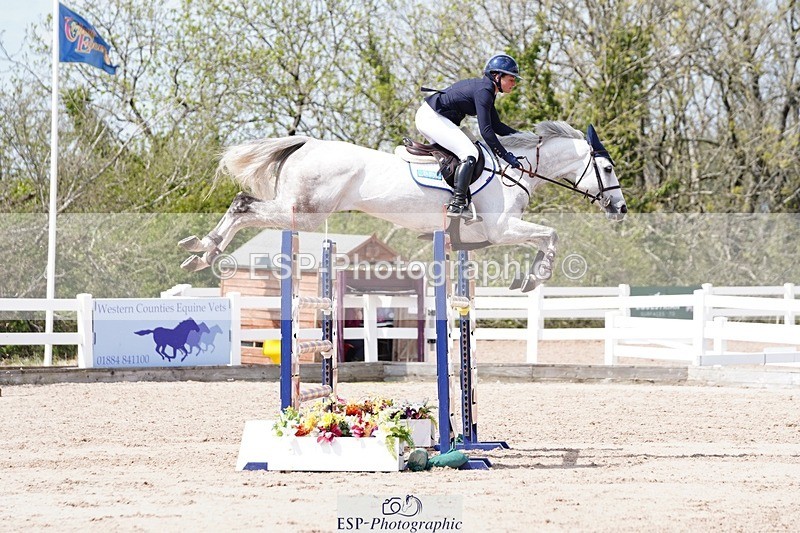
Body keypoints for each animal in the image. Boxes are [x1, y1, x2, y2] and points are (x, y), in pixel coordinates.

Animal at [179, 121, 627, 291]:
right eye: (606, 167)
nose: (620, 209)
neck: (513, 169)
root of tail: (306, 143)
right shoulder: (501, 230)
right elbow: (551, 235)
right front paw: (535, 279)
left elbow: (546, 236)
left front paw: (530, 278)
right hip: (304, 213)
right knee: (243, 205)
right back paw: (203, 251)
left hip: (299, 210)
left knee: (242, 205)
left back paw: (200, 252)